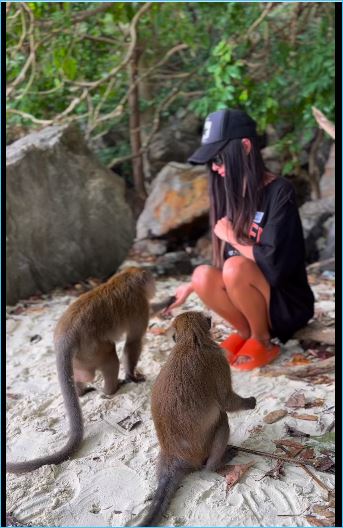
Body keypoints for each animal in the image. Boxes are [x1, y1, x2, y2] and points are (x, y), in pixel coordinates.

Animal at [6, 268, 170, 474]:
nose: (155, 287)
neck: (123, 280)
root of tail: (65, 336)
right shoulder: (139, 304)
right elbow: (133, 341)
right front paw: (131, 375)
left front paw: (170, 299)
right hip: (93, 348)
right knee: (110, 357)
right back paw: (111, 389)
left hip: (81, 356)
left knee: (87, 372)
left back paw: (81, 389)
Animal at [136, 312, 256, 524]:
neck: (190, 342)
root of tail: (174, 455)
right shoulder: (218, 360)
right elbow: (226, 402)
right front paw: (250, 402)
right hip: (202, 449)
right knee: (222, 419)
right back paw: (215, 465)